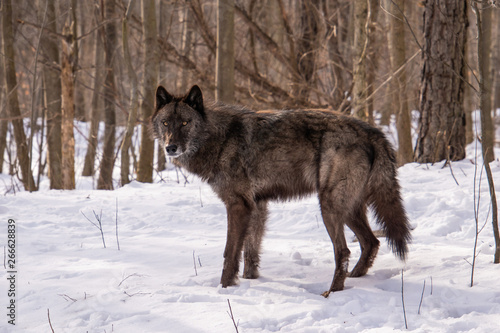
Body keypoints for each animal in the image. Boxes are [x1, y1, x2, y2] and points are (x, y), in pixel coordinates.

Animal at [151, 83, 410, 296]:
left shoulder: (238, 205)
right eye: (166, 123)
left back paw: (332, 292)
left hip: (330, 207)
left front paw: (225, 288)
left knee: (344, 251)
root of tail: (372, 132)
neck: (219, 139)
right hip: (349, 210)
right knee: (371, 242)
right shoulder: (257, 206)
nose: (171, 147)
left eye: (185, 123)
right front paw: (250, 282)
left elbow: (230, 253)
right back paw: (356, 278)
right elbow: (250, 251)